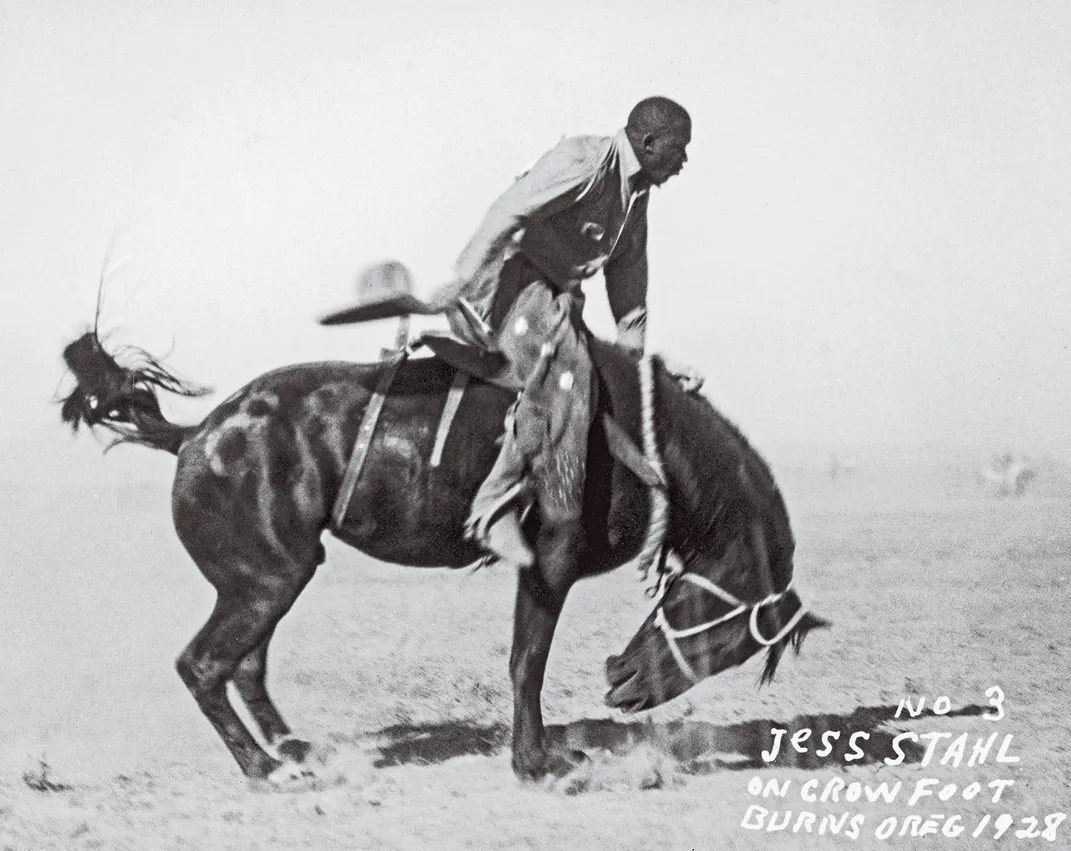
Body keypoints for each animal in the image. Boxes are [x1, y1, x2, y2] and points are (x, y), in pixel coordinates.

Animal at [58, 316, 826, 787]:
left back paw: (292, 747)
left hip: (266, 581)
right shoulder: (548, 564)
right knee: (203, 665)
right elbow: (526, 661)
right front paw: (535, 761)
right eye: (727, 638)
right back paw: (265, 767)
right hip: (265, 580)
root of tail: (195, 435)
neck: (637, 435)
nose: (622, 682)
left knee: (244, 665)